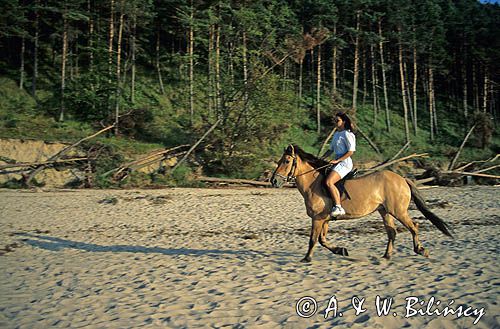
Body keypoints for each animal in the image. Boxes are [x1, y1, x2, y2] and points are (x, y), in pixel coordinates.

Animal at [270, 144, 454, 262]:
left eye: (286, 161)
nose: (273, 181)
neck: (314, 184)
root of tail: (402, 178)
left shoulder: (318, 219)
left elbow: (313, 239)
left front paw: (306, 258)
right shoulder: (324, 219)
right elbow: (322, 239)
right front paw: (341, 250)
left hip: (398, 211)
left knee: (413, 226)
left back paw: (420, 250)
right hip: (384, 211)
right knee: (392, 232)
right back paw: (387, 256)